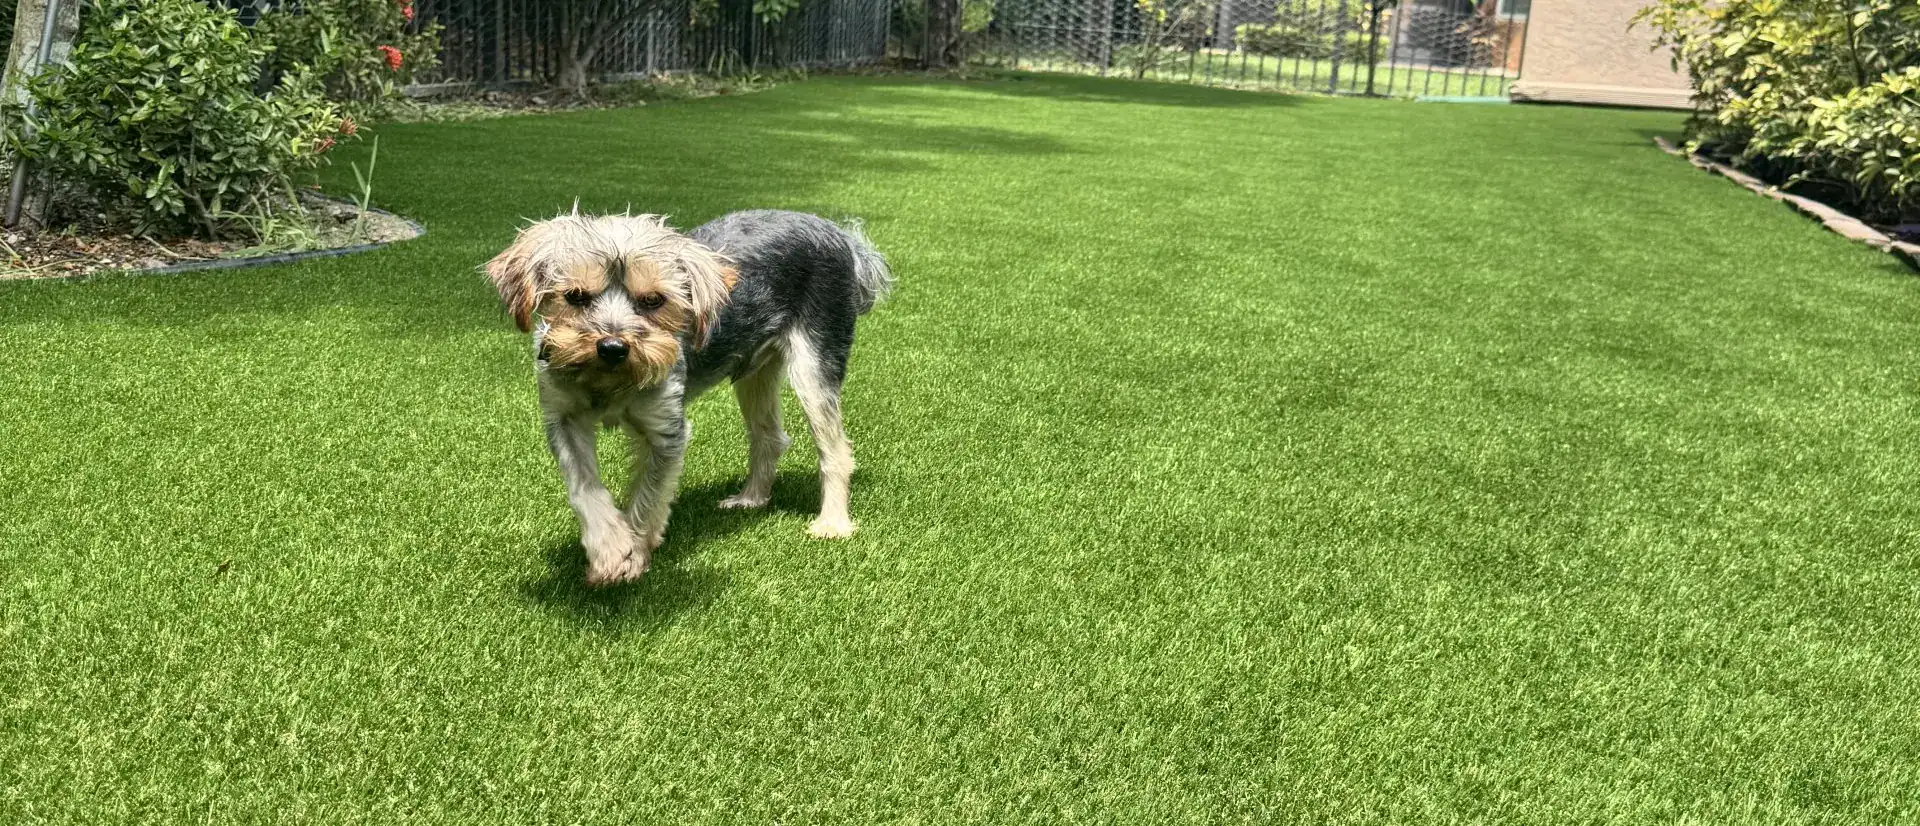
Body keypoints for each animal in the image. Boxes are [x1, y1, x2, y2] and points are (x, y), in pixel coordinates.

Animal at [484, 209, 893, 586]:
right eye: (574, 297)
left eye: (653, 300)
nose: (613, 347)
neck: (609, 381)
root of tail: (841, 235)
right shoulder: (564, 419)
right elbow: (586, 491)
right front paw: (610, 551)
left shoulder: (666, 429)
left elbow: (649, 496)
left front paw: (633, 553)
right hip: (754, 370)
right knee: (770, 436)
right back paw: (751, 498)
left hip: (815, 363)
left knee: (835, 449)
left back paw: (832, 522)